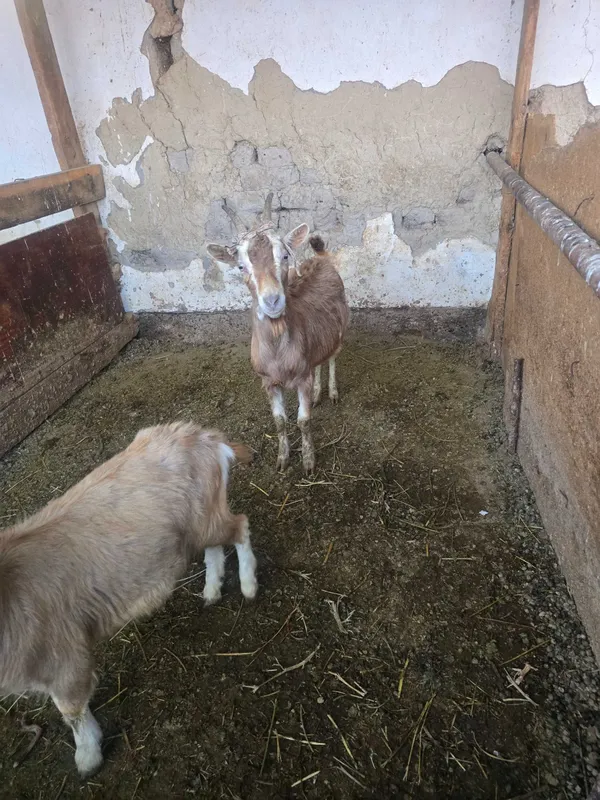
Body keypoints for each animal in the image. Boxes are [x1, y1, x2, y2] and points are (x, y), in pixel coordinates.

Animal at [0, 421, 257, 776]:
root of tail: (204, 437)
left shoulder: (64, 656)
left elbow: (71, 711)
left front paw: (88, 758)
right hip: (201, 520)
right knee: (215, 544)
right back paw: (211, 590)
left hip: (208, 517)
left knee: (240, 526)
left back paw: (248, 585)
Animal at [207, 194, 349, 473]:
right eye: (240, 266)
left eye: (284, 256)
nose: (272, 300)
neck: (278, 352)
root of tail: (322, 258)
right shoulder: (268, 381)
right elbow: (280, 421)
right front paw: (283, 459)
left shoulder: (302, 378)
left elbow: (303, 421)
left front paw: (308, 462)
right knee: (319, 361)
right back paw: (319, 394)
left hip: (341, 329)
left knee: (332, 358)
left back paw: (332, 392)